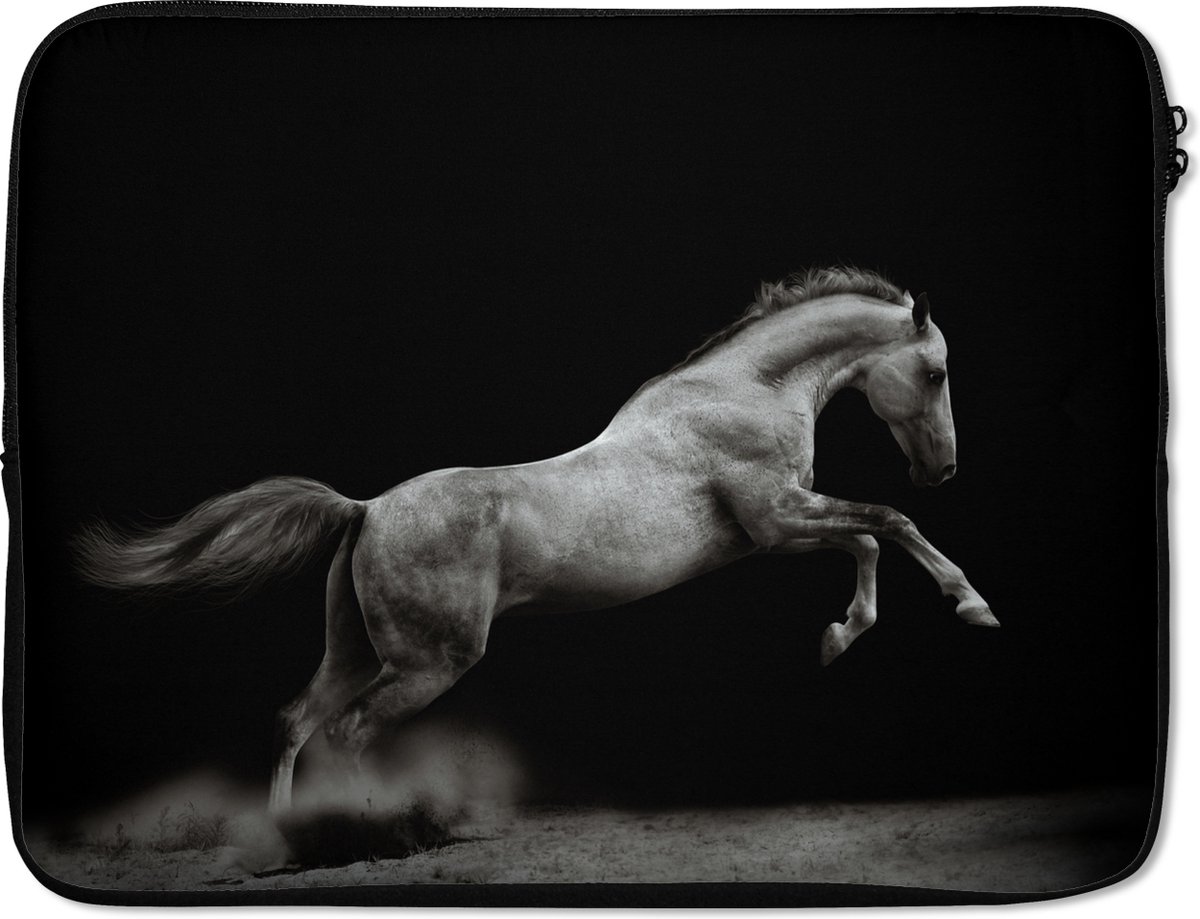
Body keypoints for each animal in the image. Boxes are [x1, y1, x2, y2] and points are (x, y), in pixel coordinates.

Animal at [75, 266, 998, 815]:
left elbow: (871, 540)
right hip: (429, 660)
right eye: (938, 371)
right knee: (348, 732)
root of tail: (366, 509)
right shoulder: (777, 516)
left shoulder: (774, 530)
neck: (742, 390)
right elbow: (889, 524)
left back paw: (289, 840)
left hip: (355, 649)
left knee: (297, 720)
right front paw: (970, 605)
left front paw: (839, 637)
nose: (945, 468)